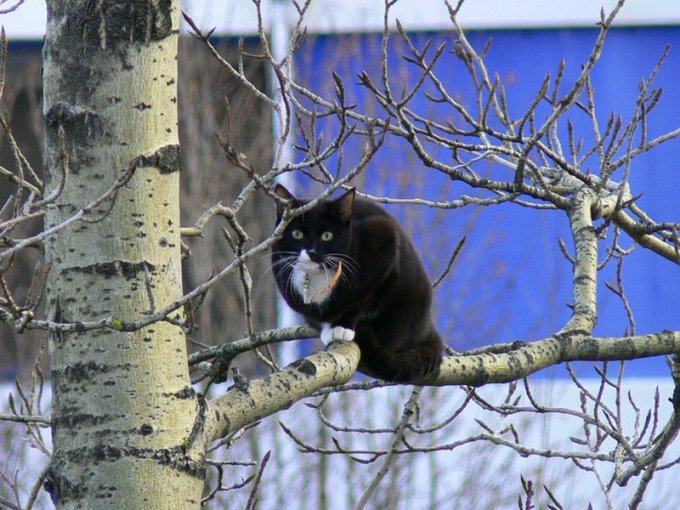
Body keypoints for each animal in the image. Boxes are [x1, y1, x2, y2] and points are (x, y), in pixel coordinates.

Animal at [272, 184, 446, 382]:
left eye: (327, 236)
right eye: (297, 234)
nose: (311, 252)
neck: (316, 274)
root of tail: (429, 328)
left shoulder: (384, 238)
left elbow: (363, 300)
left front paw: (342, 327)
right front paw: (327, 327)